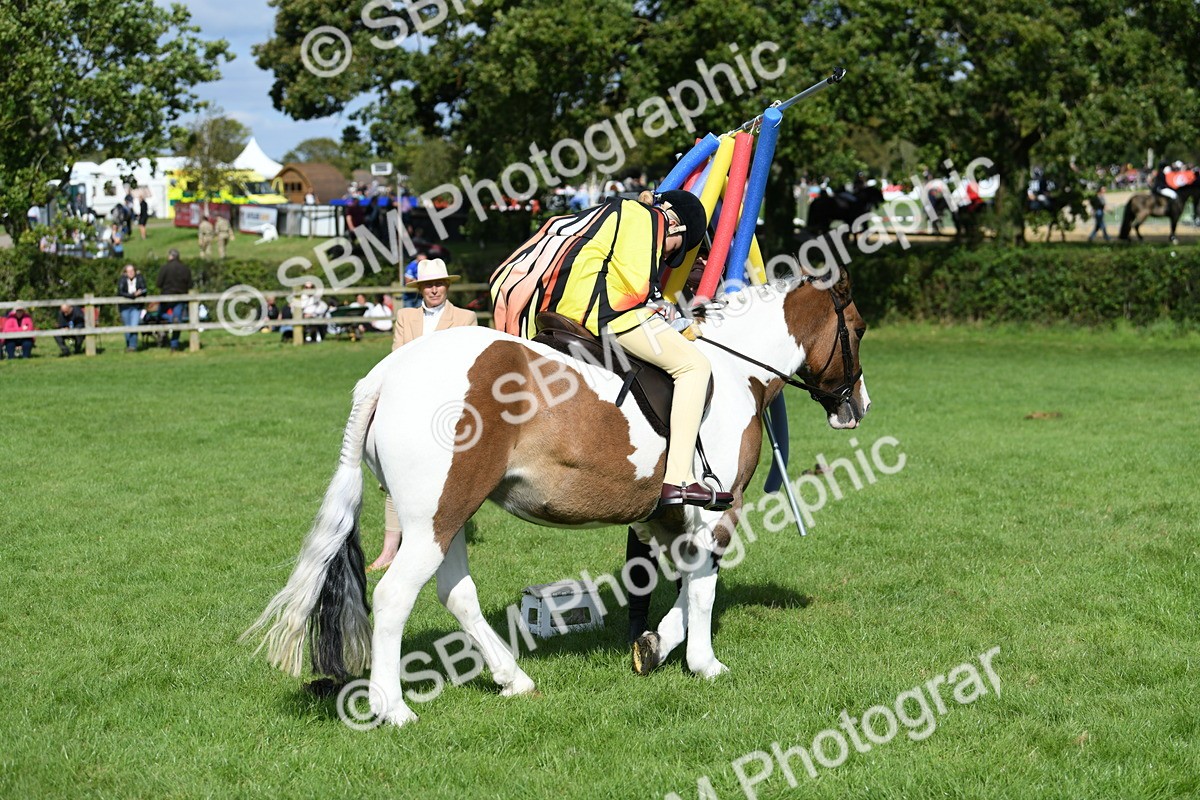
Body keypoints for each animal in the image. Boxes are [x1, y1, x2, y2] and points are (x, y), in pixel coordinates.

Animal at [244, 273, 870, 728]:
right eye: (858, 330)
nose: (857, 405)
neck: (735, 370)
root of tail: (390, 372)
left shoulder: (667, 518)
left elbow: (685, 585)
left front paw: (653, 646)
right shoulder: (720, 509)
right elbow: (703, 589)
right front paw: (703, 662)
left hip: (449, 516)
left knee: (456, 593)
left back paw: (513, 679)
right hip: (436, 518)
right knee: (396, 596)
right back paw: (392, 708)